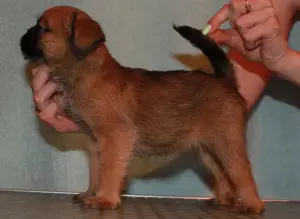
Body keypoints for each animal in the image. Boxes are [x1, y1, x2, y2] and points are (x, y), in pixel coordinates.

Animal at [19, 5, 264, 216]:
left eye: (43, 28)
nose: (23, 37)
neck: (86, 72)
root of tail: (224, 81)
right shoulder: (95, 142)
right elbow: (97, 170)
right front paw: (91, 193)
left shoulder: (115, 139)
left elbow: (110, 170)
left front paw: (105, 198)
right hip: (208, 150)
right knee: (223, 174)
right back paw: (224, 199)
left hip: (227, 143)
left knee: (241, 173)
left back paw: (252, 204)